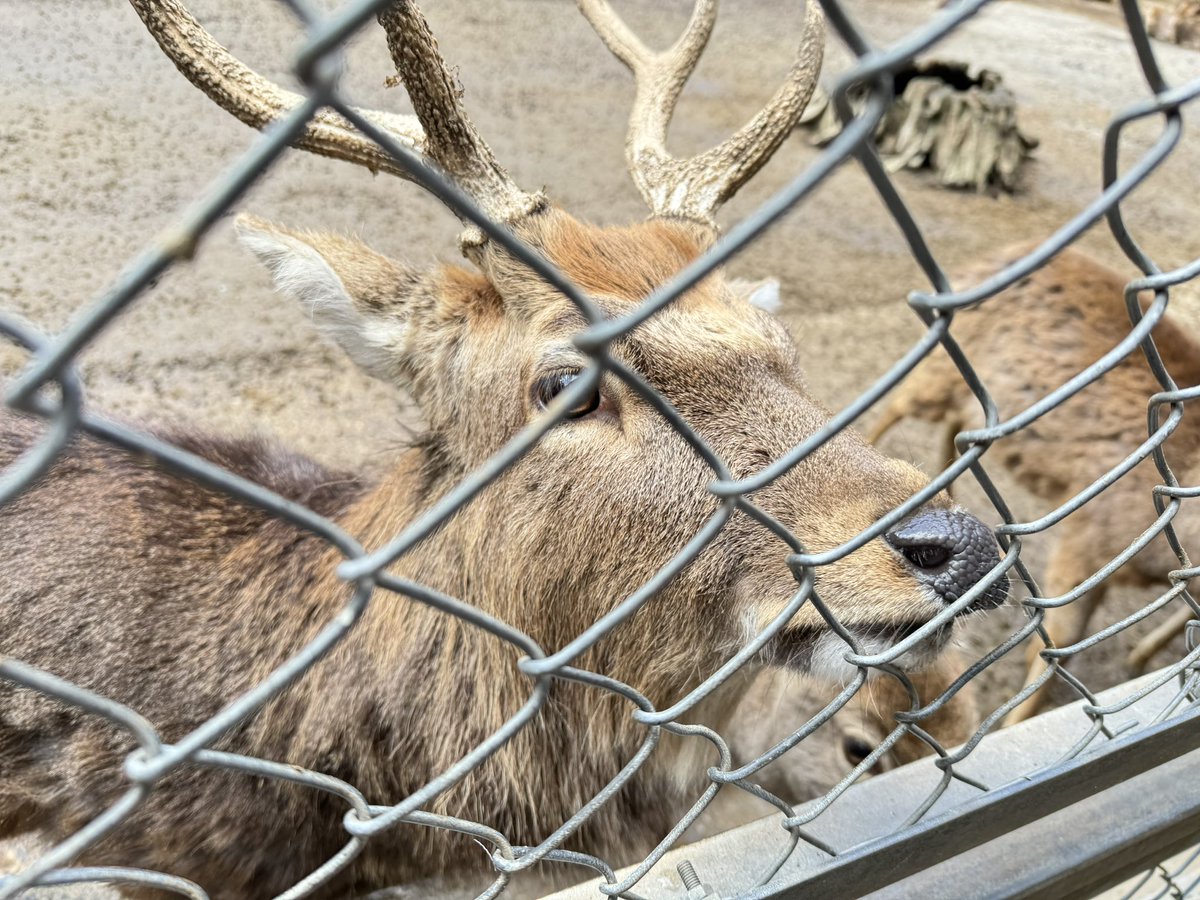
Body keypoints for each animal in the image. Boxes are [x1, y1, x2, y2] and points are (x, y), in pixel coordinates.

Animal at [867, 245, 1200, 726]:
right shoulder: (1088, 539)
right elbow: (1055, 644)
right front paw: (1015, 722)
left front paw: (1140, 657)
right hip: (940, 372)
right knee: (896, 405)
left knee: (955, 429)